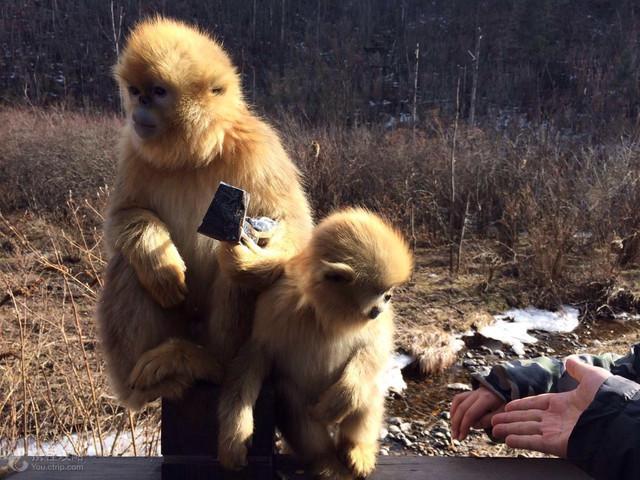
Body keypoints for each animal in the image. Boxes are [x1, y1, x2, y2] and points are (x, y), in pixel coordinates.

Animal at [97, 16, 312, 410]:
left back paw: (209, 362)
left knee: (233, 271)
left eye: (158, 91)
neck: (195, 155)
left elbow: (294, 225)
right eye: (135, 90)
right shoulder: (134, 149)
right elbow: (124, 217)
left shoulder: (259, 147)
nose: (140, 106)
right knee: (127, 262)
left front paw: (256, 258)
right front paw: (159, 262)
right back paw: (152, 382)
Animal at [218, 209, 412, 480]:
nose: (388, 300)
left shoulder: (376, 322)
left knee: (367, 387)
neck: (329, 314)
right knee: (291, 396)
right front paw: (234, 437)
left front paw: (345, 397)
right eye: (382, 293)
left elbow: (375, 347)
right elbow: (253, 358)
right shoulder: (276, 307)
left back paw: (356, 448)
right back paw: (326, 461)